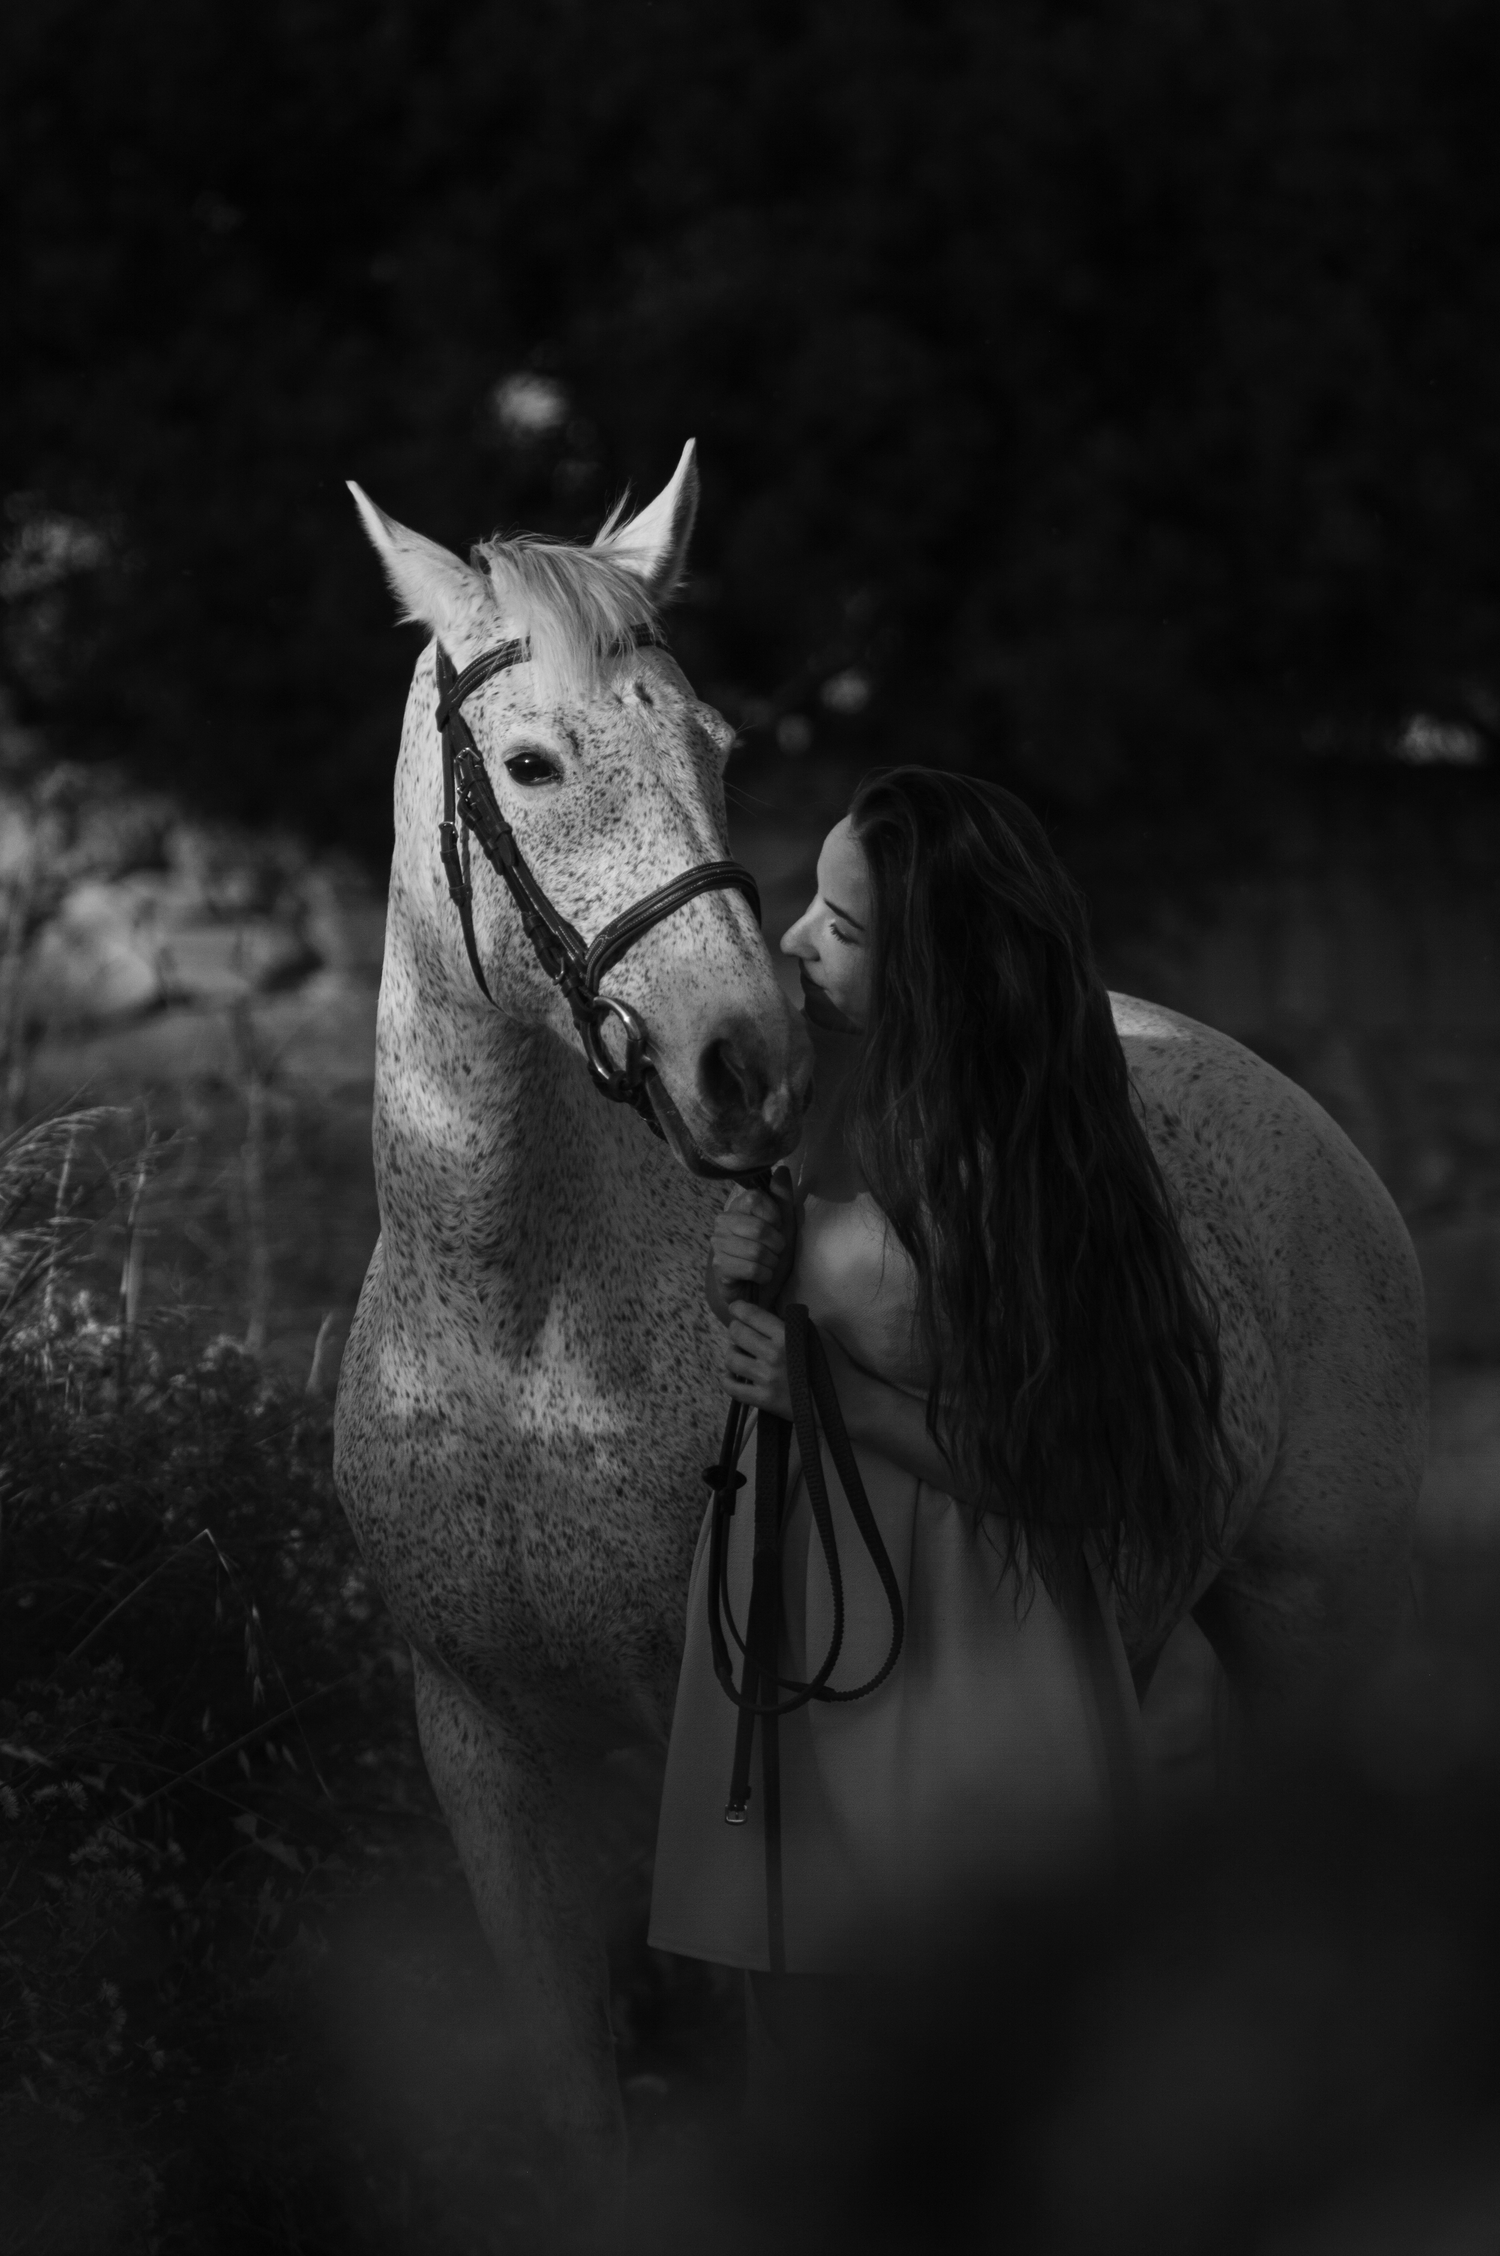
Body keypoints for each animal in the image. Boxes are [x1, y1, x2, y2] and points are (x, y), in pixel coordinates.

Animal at [333, 441, 1428, 2214]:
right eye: (532, 760)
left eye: (714, 745)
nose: (744, 1061)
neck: (522, 1333)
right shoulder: (481, 1749)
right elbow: (580, 2115)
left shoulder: (734, 1767)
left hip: (1318, 1624)